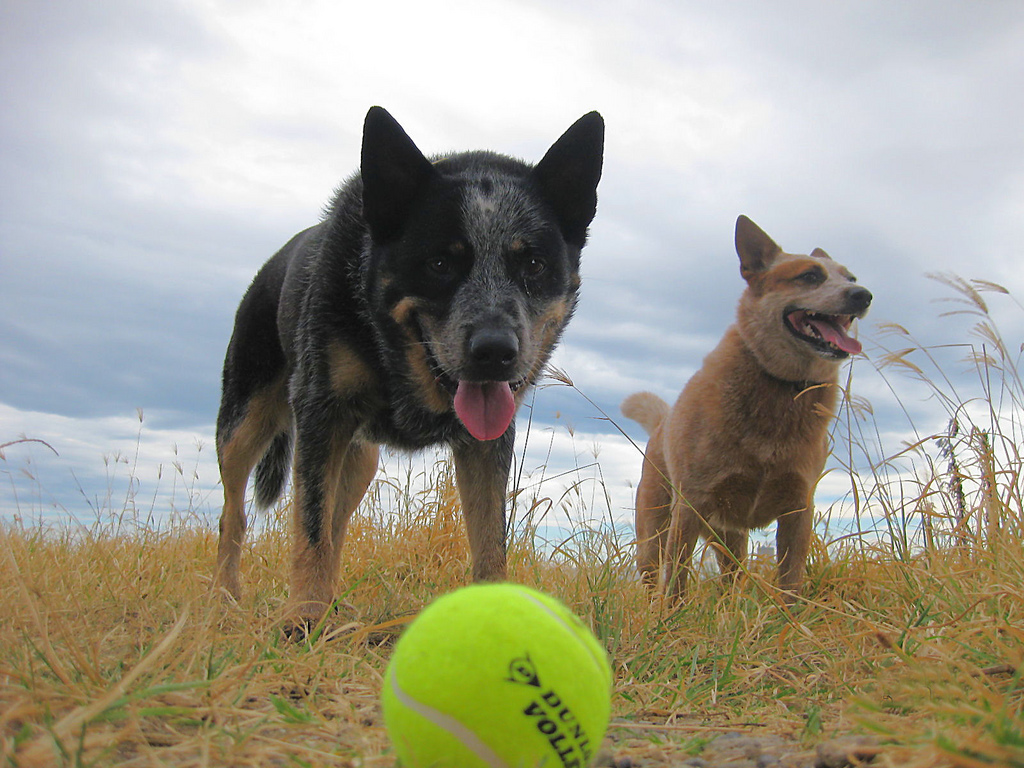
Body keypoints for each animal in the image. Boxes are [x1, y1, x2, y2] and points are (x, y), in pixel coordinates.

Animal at [214, 107, 598, 626]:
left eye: (534, 265)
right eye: (439, 263)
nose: (495, 351)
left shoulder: (486, 443)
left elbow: (490, 541)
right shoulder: (321, 414)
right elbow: (309, 527)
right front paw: (304, 616)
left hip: (359, 461)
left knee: (336, 522)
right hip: (244, 424)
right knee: (234, 515)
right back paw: (226, 596)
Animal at [618, 215, 868, 602]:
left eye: (851, 278)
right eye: (810, 275)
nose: (864, 295)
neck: (781, 388)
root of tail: (663, 423)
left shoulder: (799, 508)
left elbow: (791, 580)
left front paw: (790, 617)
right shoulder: (690, 506)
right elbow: (677, 580)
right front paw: (672, 616)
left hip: (729, 537)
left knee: (732, 578)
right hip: (656, 532)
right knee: (652, 574)